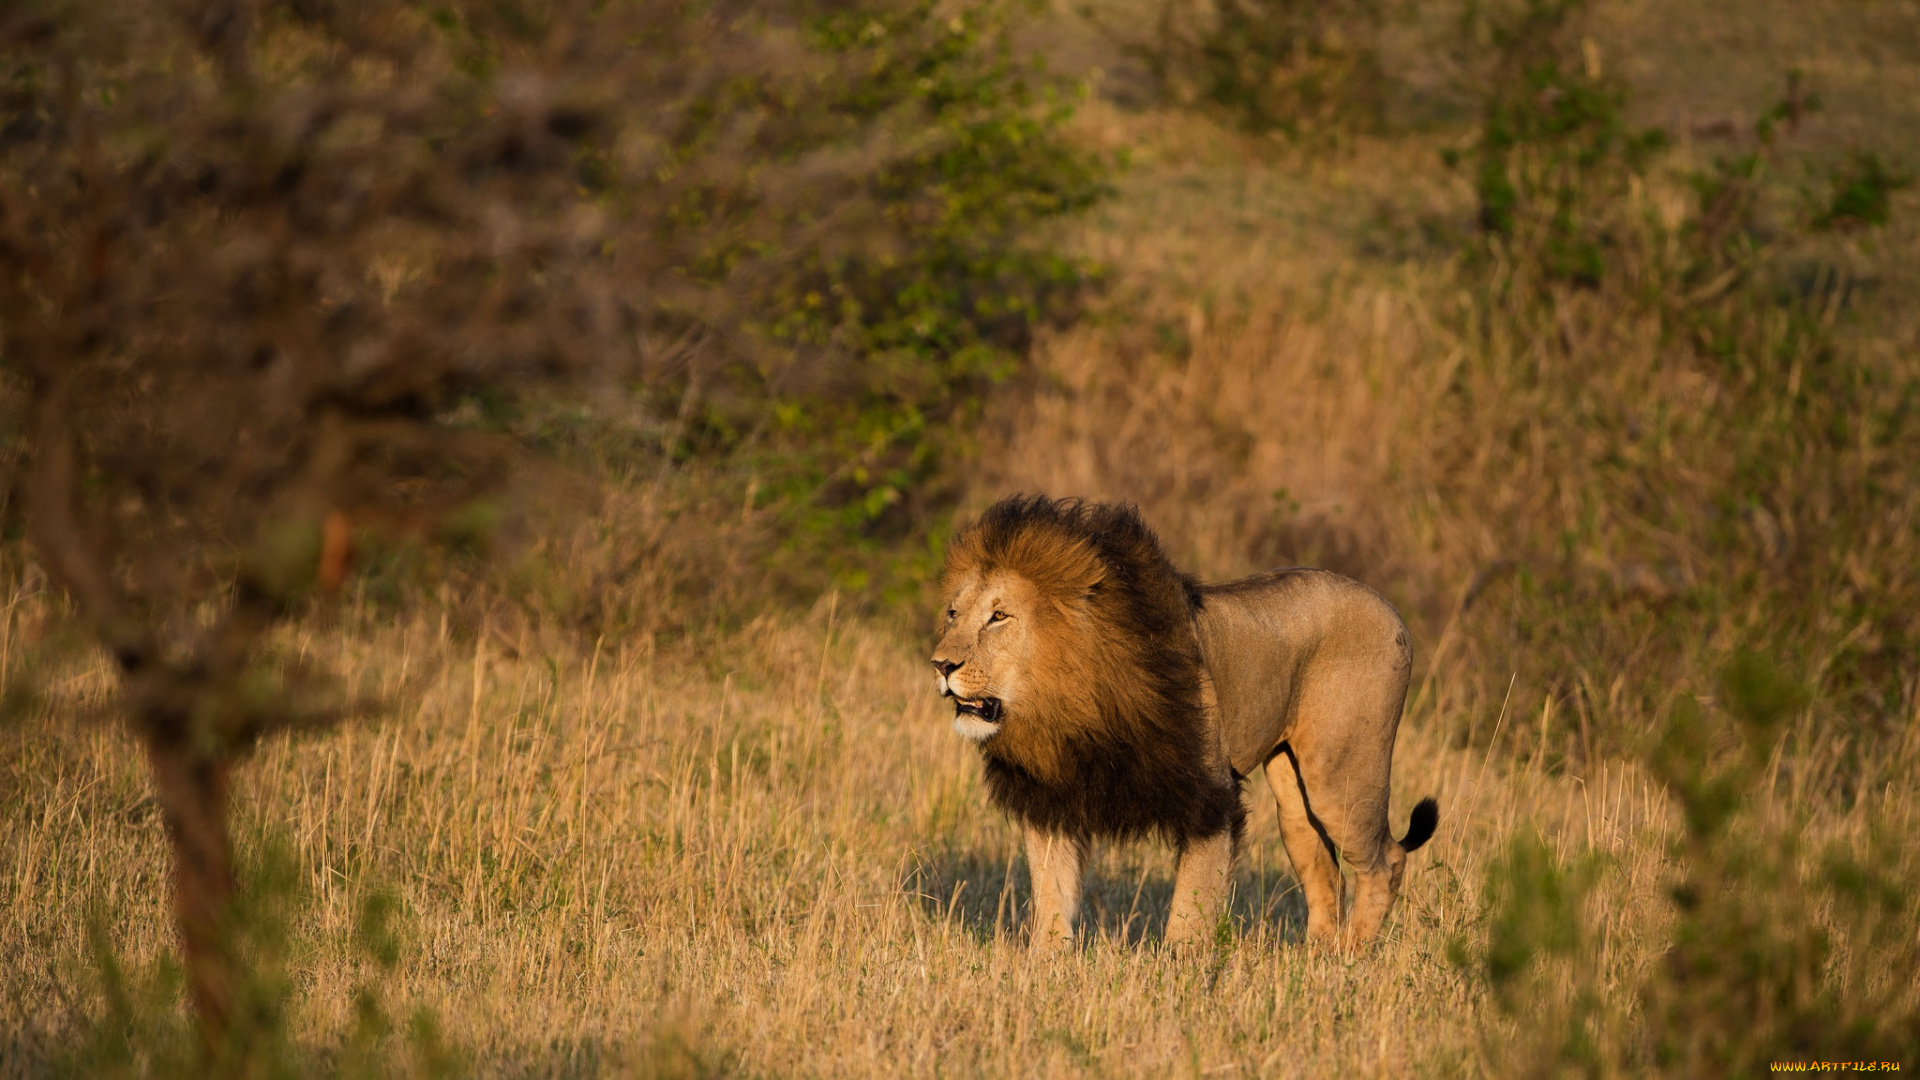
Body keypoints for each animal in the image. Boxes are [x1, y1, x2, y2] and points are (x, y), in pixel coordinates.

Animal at [929, 491, 1443, 945]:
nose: (940, 664)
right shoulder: (1052, 801)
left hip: (1340, 776)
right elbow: (1052, 900)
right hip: (1293, 794)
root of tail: (1390, 608)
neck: (1070, 708)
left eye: (999, 617)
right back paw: (1316, 959)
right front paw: (1045, 967)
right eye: (953, 613)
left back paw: (1352, 958)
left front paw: (1183, 973)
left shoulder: (1210, 798)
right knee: (1325, 870)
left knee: (1385, 862)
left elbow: (1191, 908)